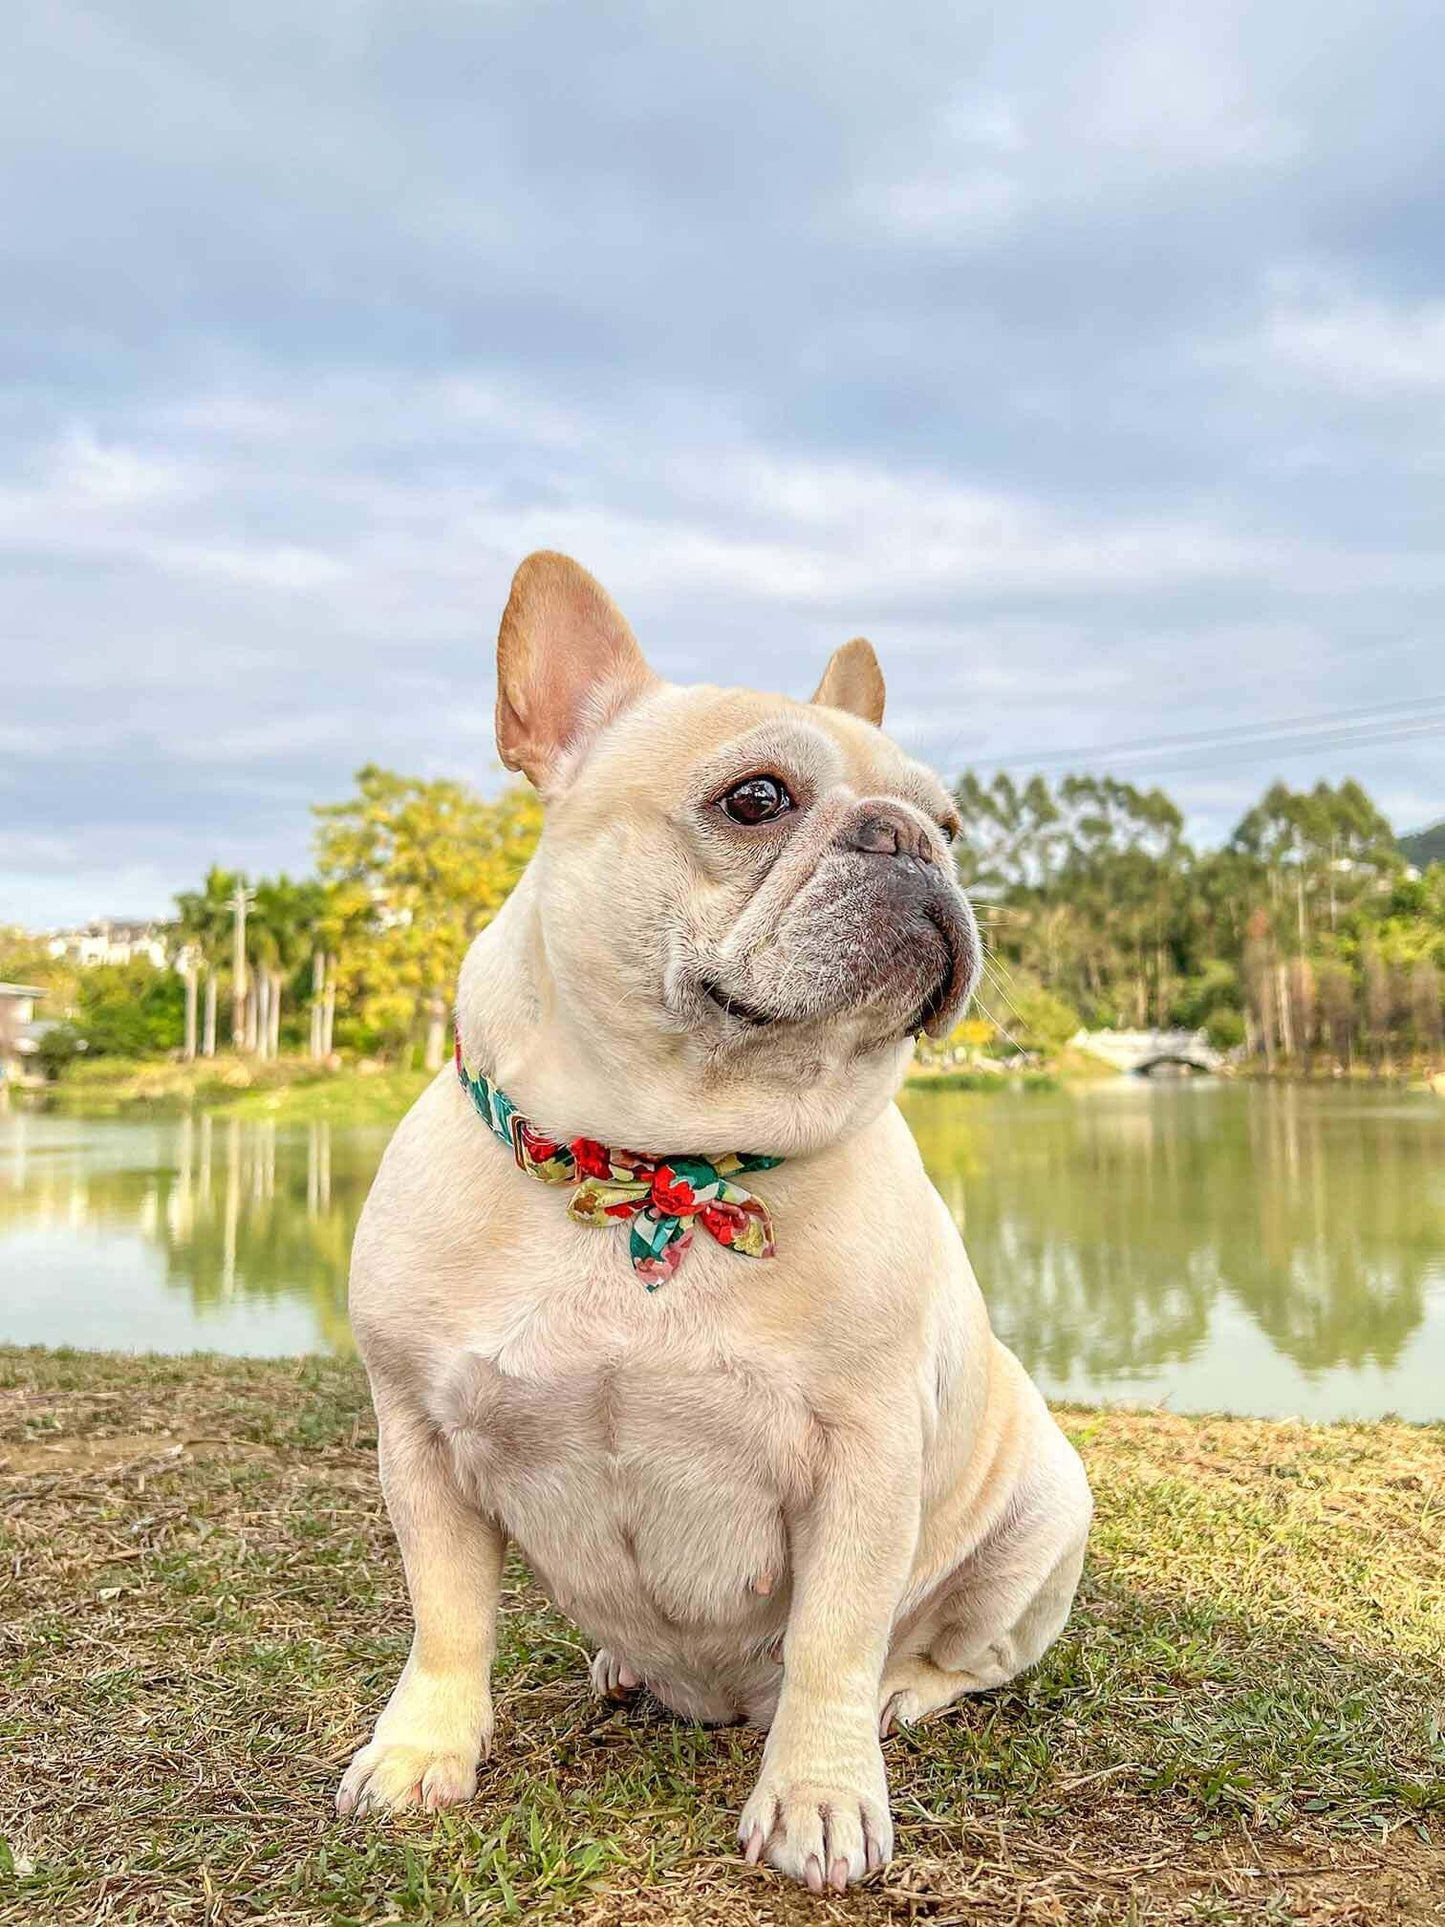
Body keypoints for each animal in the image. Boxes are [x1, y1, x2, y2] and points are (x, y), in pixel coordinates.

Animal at [333, 551, 1094, 1888]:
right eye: (755, 799)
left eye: (951, 826)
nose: (908, 842)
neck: (660, 1167)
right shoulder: (419, 1438)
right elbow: (446, 1617)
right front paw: (423, 1749)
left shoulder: (864, 1456)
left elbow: (835, 1634)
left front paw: (821, 1793)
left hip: (1042, 1514)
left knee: (961, 1656)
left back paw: (900, 1693)